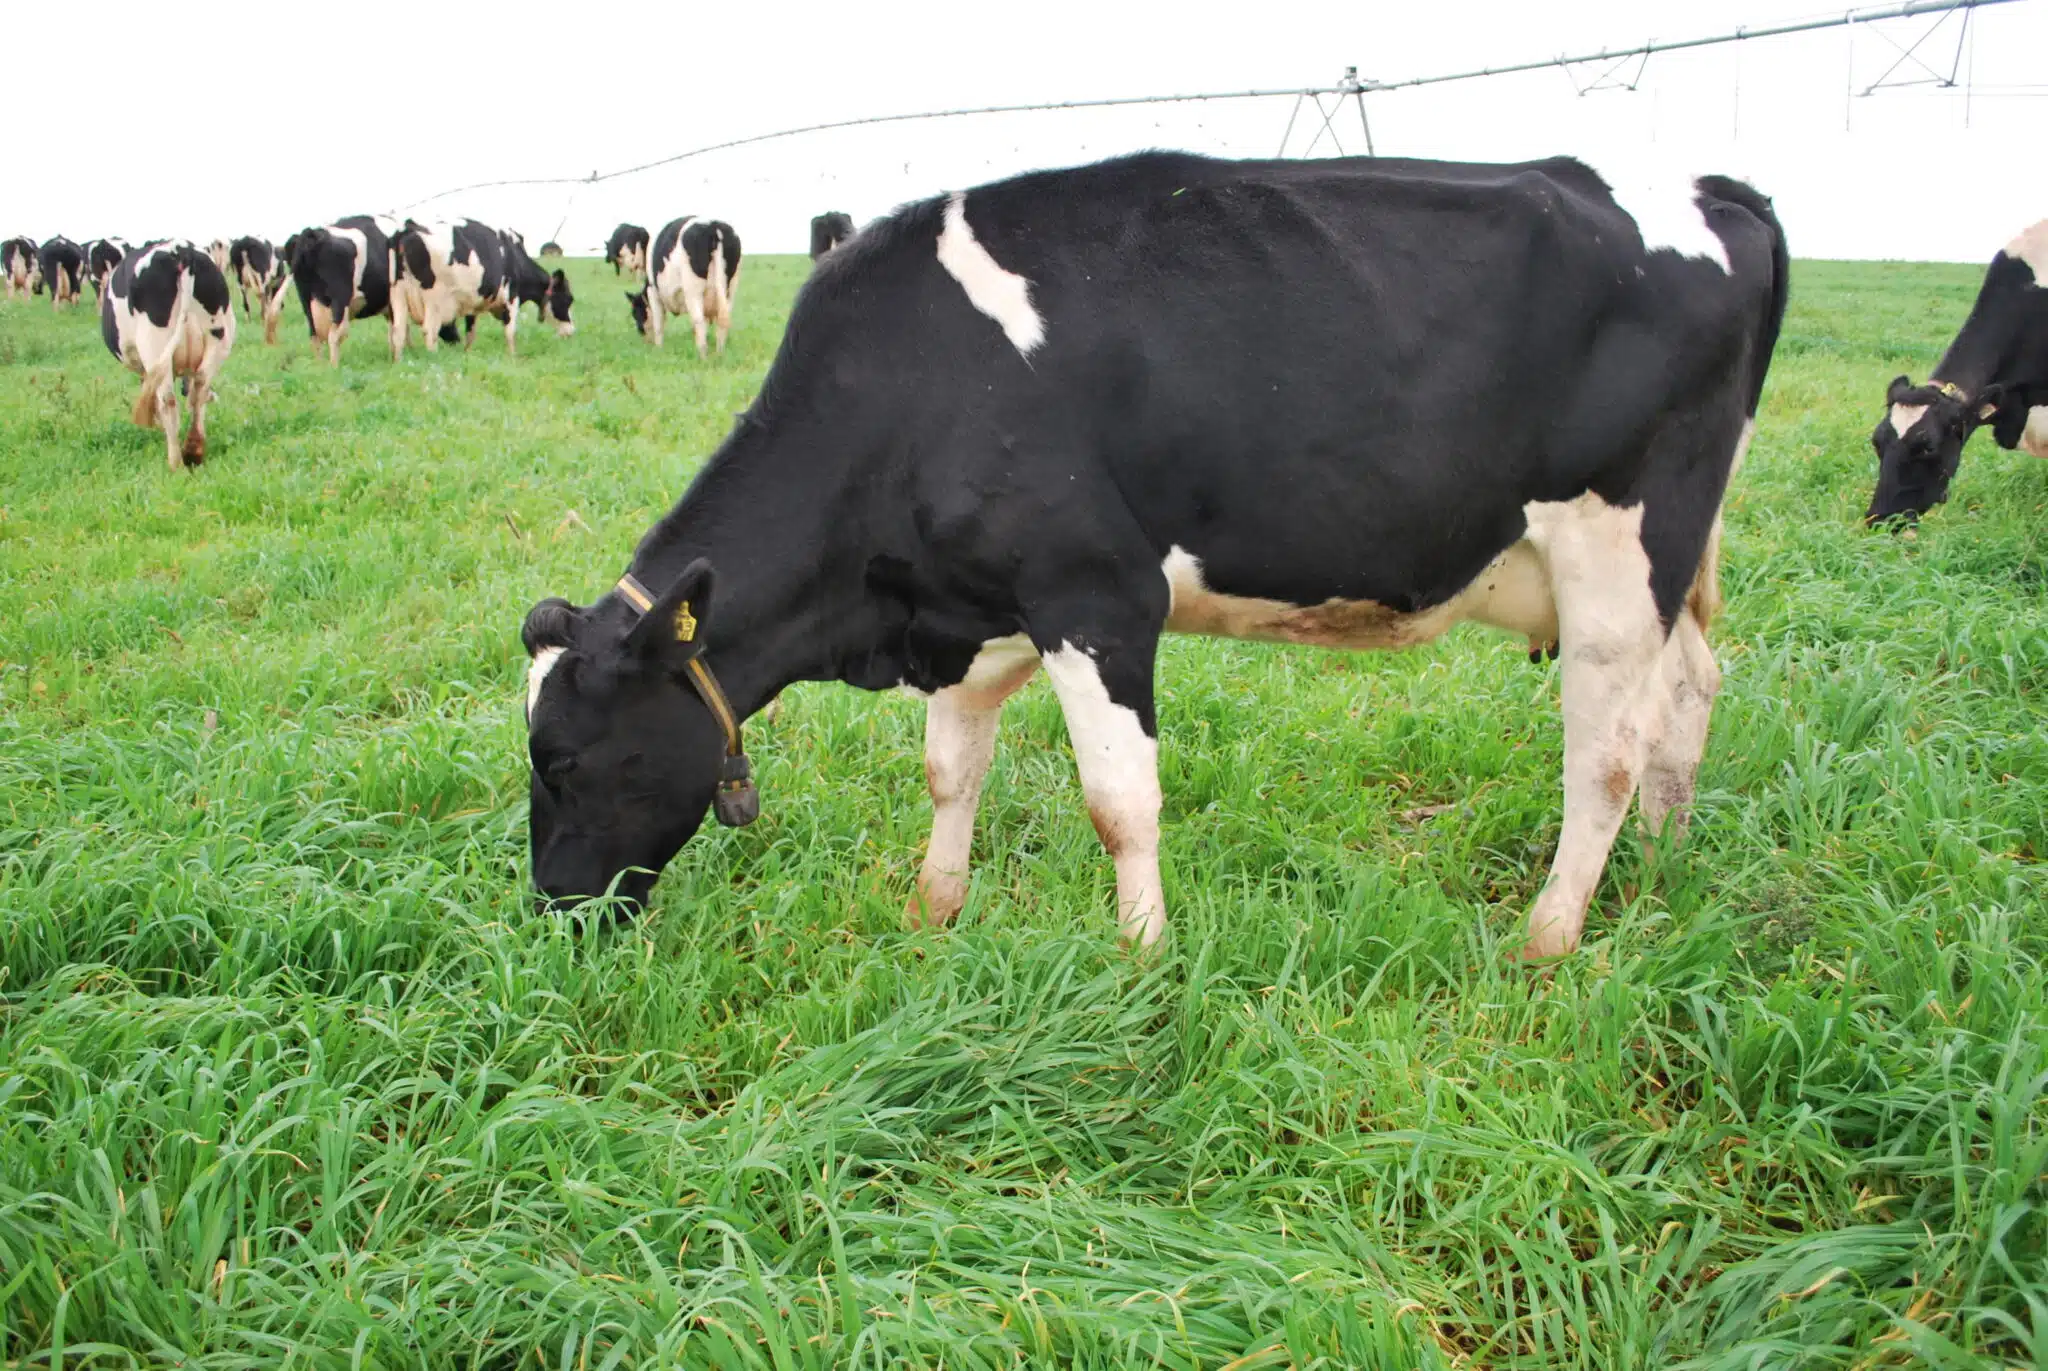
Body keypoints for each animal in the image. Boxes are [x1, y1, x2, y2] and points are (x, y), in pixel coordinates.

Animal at [99, 239, 235, 471]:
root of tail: (180, 250)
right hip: (220, 338)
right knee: (200, 387)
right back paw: (194, 450)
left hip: (154, 344)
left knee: (167, 399)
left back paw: (175, 462)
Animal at [282, 214, 397, 365]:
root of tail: (312, 233)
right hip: (340, 300)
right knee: (335, 334)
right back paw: (334, 367)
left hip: (305, 299)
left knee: (314, 336)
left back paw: (319, 366)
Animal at [389, 217, 524, 357]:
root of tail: (410, 228)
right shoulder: (512, 295)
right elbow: (510, 331)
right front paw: (512, 356)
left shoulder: (473, 304)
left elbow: (470, 332)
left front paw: (467, 354)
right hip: (434, 298)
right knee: (430, 331)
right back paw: (433, 357)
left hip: (397, 291)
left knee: (398, 330)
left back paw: (398, 360)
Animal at [626, 216, 741, 355]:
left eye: (635, 312)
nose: (640, 332)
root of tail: (713, 225)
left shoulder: (653, 293)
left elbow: (658, 324)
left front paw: (659, 350)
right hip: (730, 289)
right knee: (722, 321)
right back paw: (720, 354)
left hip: (693, 290)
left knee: (699, 321)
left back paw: (702, 355)